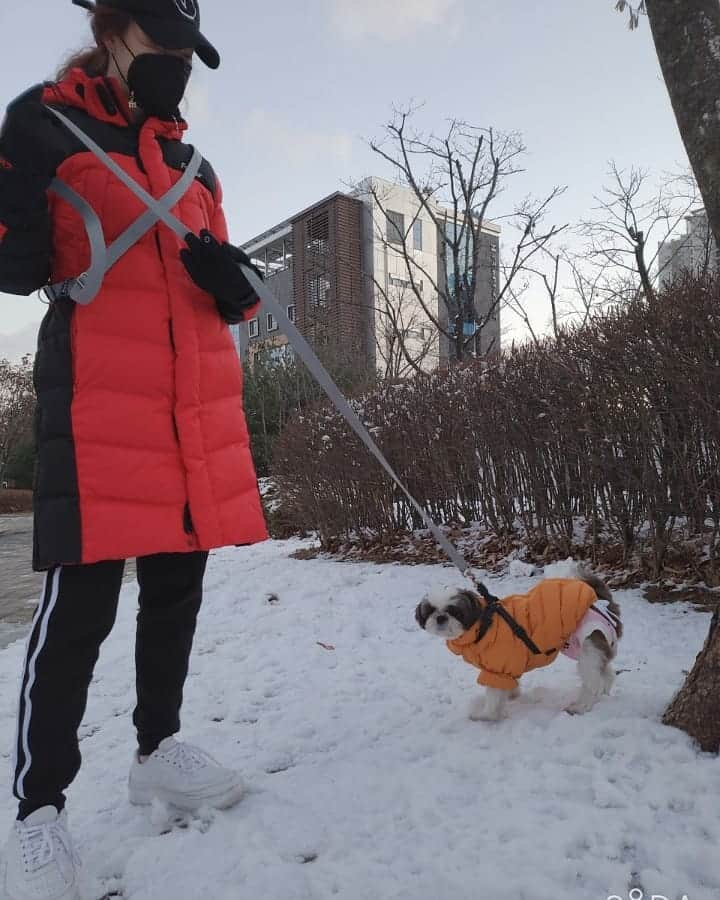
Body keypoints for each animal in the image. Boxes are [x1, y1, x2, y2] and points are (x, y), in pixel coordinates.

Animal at [414, 568, 620, 724]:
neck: (483, 624)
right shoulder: (507, 667)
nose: (440, 617)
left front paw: (485, 715)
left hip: (588, 645)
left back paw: (581, 706)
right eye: (430, 610)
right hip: (588, 647)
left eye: (454, 611)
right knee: (605, 671)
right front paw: (512, 695)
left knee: (592, 680)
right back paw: (605, 691)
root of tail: (600, 603)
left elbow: (493, 696)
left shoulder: (495, 669)